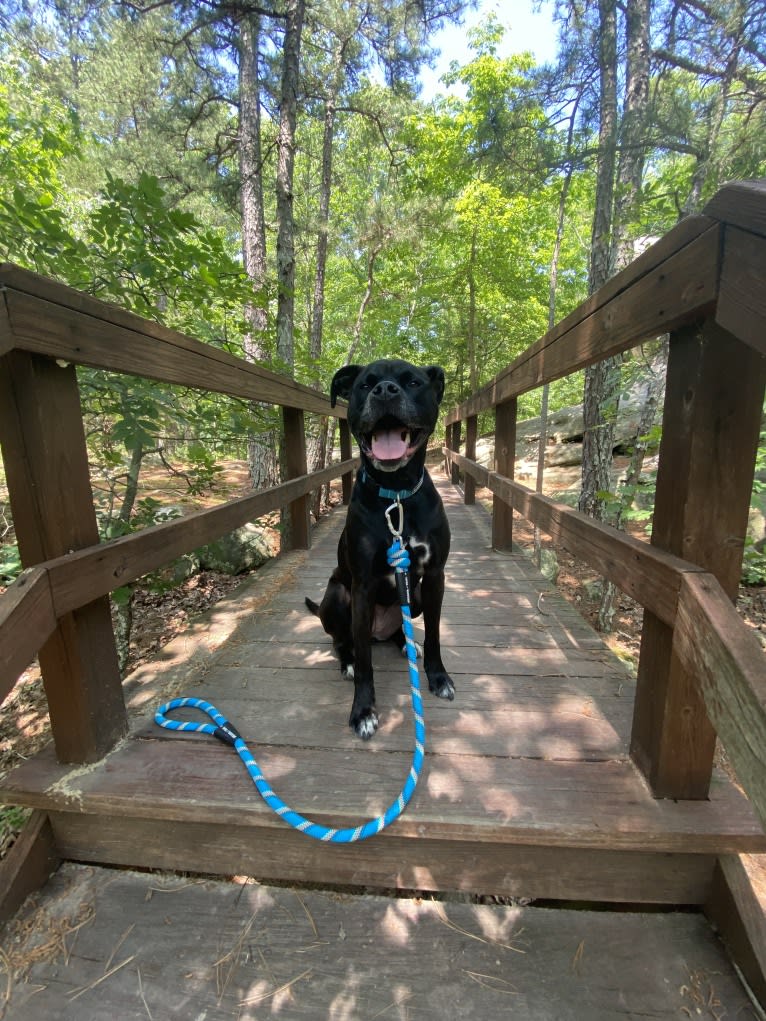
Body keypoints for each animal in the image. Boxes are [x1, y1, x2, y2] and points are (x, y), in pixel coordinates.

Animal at [306, 361, 455, 743]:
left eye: (414, 382)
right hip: (338, 596)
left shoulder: (434, 578)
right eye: (364, 384)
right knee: (345, 642)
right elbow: (365, 666)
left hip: (414, 597)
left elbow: (435, 635)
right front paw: (363, 711)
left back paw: (405, 643)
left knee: (401, 629)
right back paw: (346, 660)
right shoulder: (362, 586)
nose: (385, 390)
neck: (397, 495)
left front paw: (438, 677)